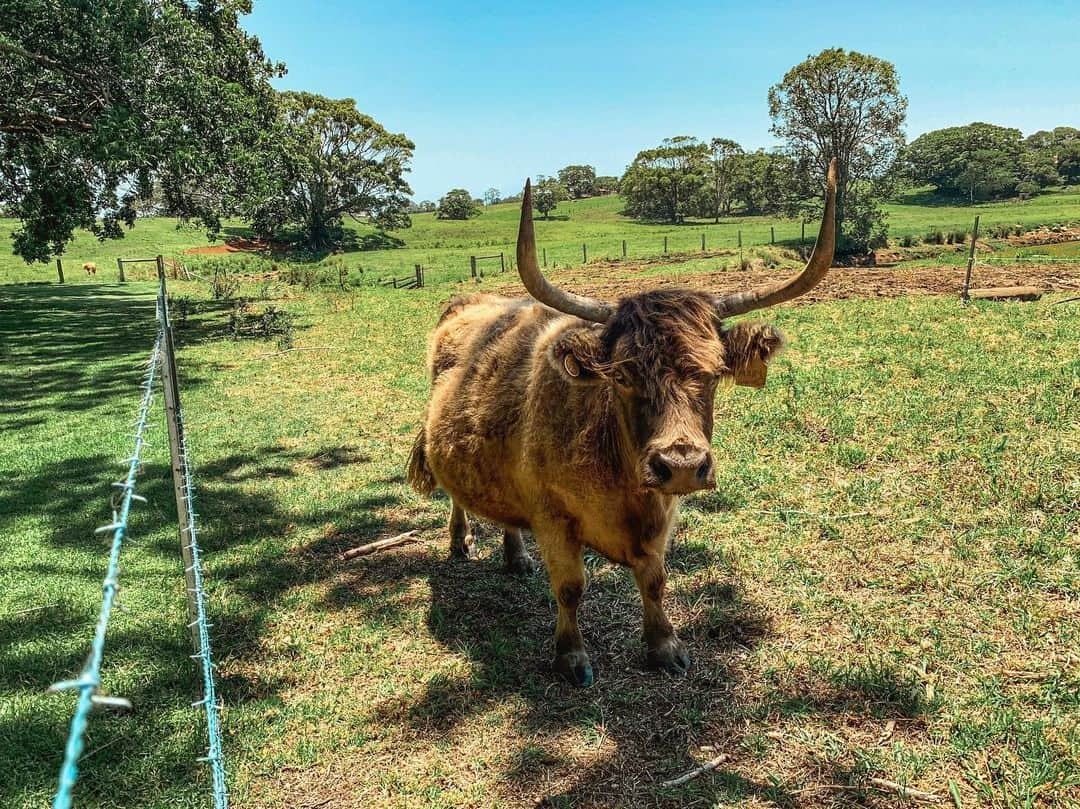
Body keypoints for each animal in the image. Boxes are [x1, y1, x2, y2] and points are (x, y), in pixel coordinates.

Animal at [408, 160, 838, 686]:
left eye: (714, 372)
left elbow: (654, 580)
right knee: (456, 498)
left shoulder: (660, 518)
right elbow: (571, 587)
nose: (681, 464)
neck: (621, 482)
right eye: (624, 376)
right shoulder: (553, 519)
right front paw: (571, 657)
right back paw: (460, 541)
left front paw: (665, 646)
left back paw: (516, 556)